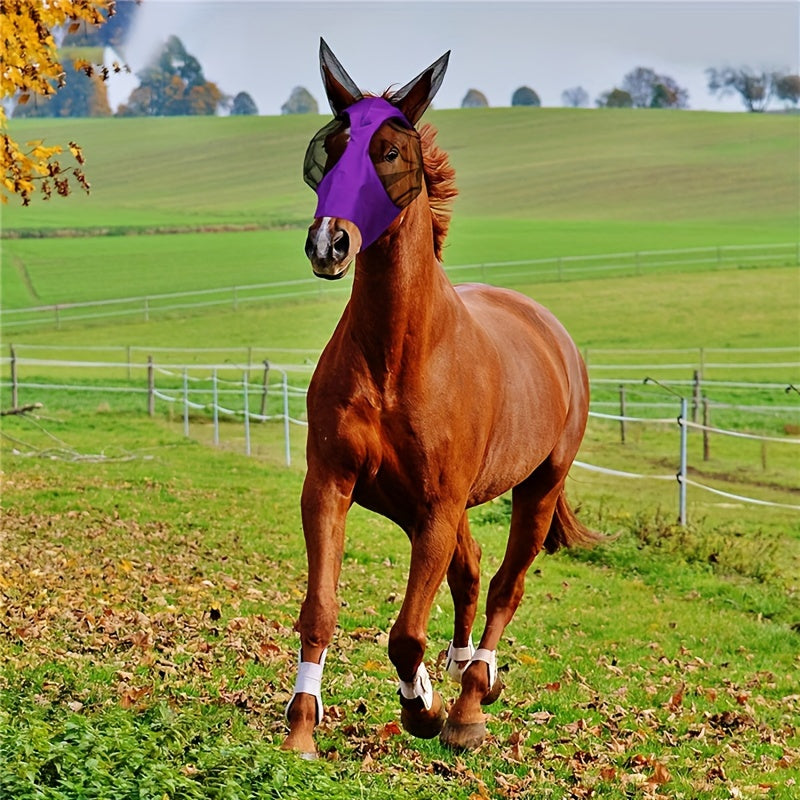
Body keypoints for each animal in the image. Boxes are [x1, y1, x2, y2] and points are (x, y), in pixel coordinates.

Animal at [282, 42, 600, 756]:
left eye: (389, 153)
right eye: (331, 148)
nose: (328, 242)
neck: (397, 357)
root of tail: (554, 334)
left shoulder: (437, 506)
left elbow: (405, 633)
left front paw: (422, 708)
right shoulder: (332, 485)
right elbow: (321, 609)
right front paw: (300, 732)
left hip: (534, 489)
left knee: (506, 585)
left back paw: (470, 701)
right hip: (426, 507)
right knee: (472, 571)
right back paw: (459, 672)